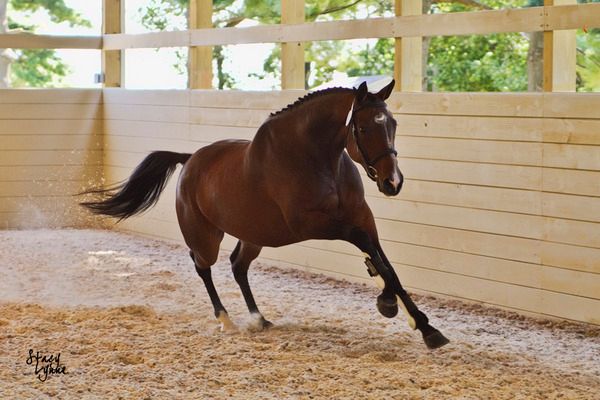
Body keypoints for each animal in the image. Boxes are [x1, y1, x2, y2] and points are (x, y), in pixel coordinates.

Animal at [82, 80, 449, 349]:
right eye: (363, 127)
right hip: (206, 237)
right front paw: (391, 305)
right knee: (203, 267)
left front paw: (423, 325)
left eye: (392, 124)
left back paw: (259, 318)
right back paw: (227, 320)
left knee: (238, 266)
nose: (393, 182)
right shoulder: (312, 224)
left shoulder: (361, 217)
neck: (317, 158)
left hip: (253, 235)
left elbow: (386, 263)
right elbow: (370, 252)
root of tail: (189, 160)